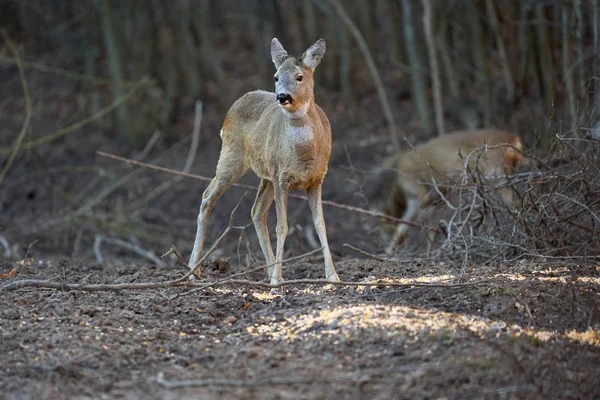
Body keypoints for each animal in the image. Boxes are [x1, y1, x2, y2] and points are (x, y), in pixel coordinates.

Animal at [189, 38, 338, 284]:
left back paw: (267, 270)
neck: (303, 155)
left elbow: (321, 225)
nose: (282, 96)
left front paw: (333, 276)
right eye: (276, 77)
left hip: (265, 172)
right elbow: (282, 226)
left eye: (299, 77)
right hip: (232, 156)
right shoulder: (281, 178)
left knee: (256, 211)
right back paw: (193, 270)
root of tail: (235, 104)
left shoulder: (317, 179)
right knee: (207, 197)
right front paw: (278, 281)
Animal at [380, 129, 524, 253]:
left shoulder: (418, 195)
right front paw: (432, 251)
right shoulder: (441, 199)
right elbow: (434, 226)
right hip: (506, 171)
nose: (402, 245)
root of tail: (514, 139)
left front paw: (388, 252)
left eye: (386, 230)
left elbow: (404, 225)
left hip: (493, 173)